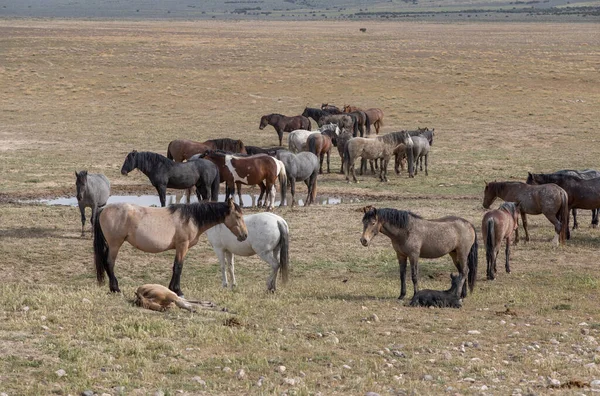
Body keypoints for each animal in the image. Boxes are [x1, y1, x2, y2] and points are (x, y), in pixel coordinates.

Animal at [92, 200, 247, 296]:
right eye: (238, 216)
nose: (244, 235)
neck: (190, 218)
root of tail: (103, 209)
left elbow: (174, 266)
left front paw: (172, 288)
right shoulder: (182, 245)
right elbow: (179, 266)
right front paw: (178, 290)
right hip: (115, 244)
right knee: (109, 263)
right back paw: (115, 289)